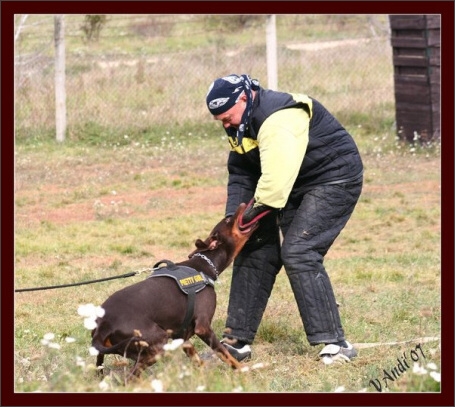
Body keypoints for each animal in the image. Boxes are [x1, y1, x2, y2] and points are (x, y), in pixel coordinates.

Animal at [91, 204, 262, 380]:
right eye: (228, 221)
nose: (244, 204)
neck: (205, 267)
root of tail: (103, 326)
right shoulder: (203, 327)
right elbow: (225, 354)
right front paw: (244, 372)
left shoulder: (181, 336)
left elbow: (196, 357)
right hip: (157, 345)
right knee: (131, 377)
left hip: (107, 356)